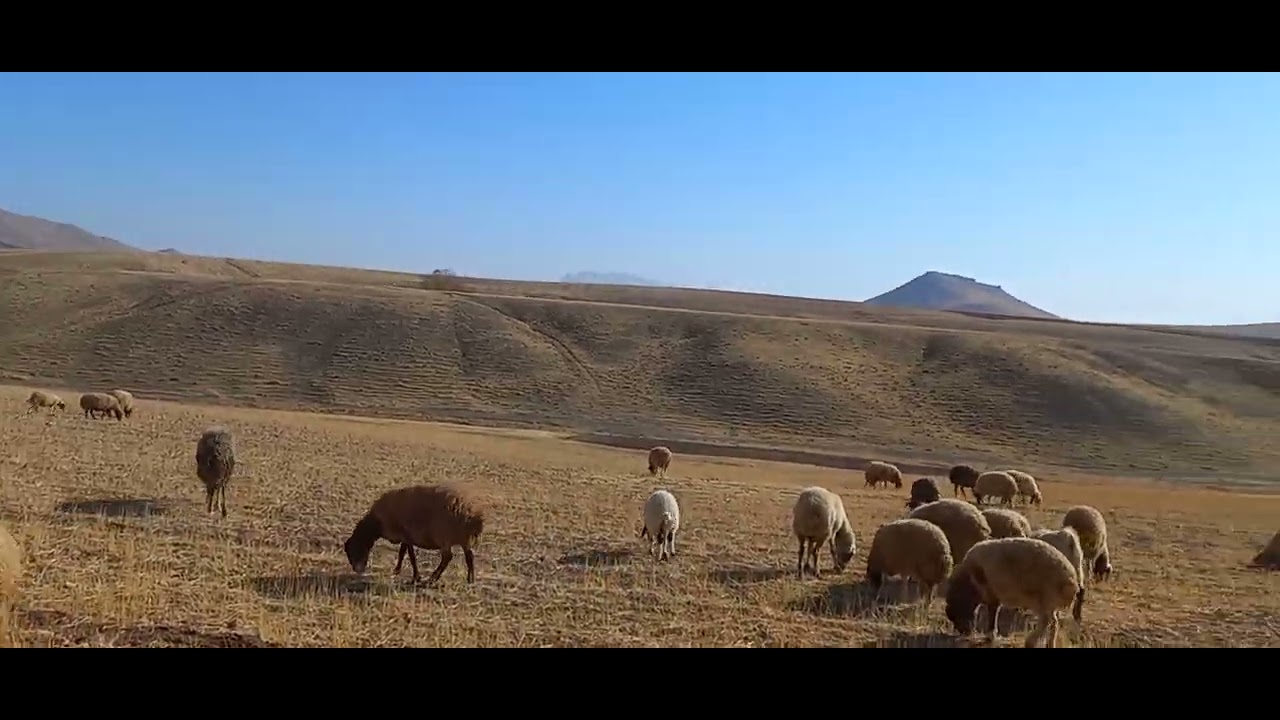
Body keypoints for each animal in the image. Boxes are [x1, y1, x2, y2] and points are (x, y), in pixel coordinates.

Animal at [343, 484, 486, 585]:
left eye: (353, 550)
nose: (358, 570)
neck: (377, 523)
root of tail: (472, 516)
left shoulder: (406, 535)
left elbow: (409, 555)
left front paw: (415, 577)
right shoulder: (405, 536)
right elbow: (403, 553)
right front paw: (398, 571)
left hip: (445, 536)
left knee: (447, 557)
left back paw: (432, 579)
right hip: (463, 538)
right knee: (469, 556)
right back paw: (470, 579)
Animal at [944, 537, 1082, 648]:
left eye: (955, 614)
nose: (964, 633)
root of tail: (1073, 580)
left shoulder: (991, 593)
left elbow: (993, 614)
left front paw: (990, 636)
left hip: (1045, 598)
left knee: (1047, 621)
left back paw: (1030, 642)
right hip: (1049, 602)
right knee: (1054, 623)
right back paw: (1049, 644)